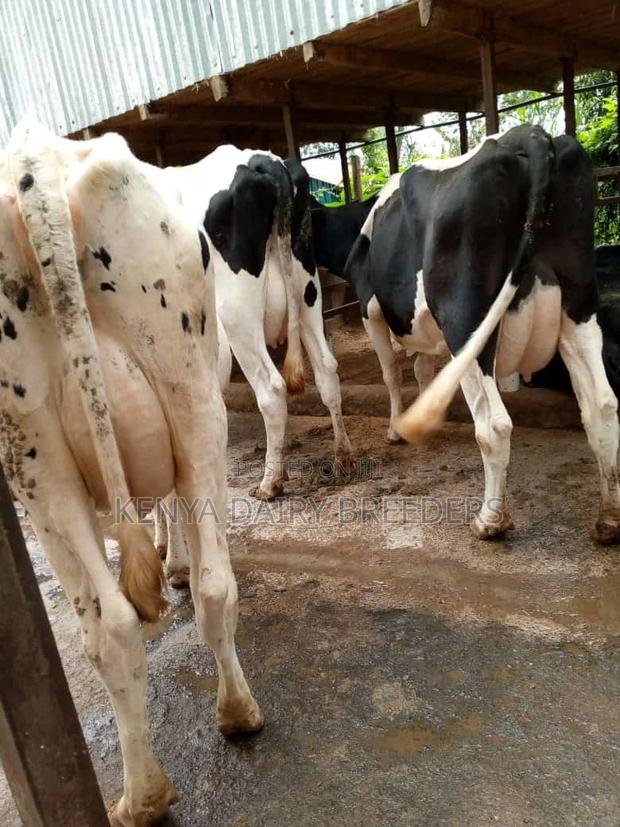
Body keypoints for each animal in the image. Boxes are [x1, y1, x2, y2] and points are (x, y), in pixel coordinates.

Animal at [0, 120, 262, 825]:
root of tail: (37, 156)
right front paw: (173, 561)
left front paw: (167, 562)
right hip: (192, 398)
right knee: (206, 588)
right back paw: (231, 718)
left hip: (38, 461)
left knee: (113, 626)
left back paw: (141, 795)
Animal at [339, 125, 620, 543]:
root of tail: (528, 135)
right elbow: (422, 369)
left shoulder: (369, 308)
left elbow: (391, 373)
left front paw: (395, 428)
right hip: (579, 307)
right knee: (602, 406)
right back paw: (608, 519)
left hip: (465, 324)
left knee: (494, 425)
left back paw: (490, 519)